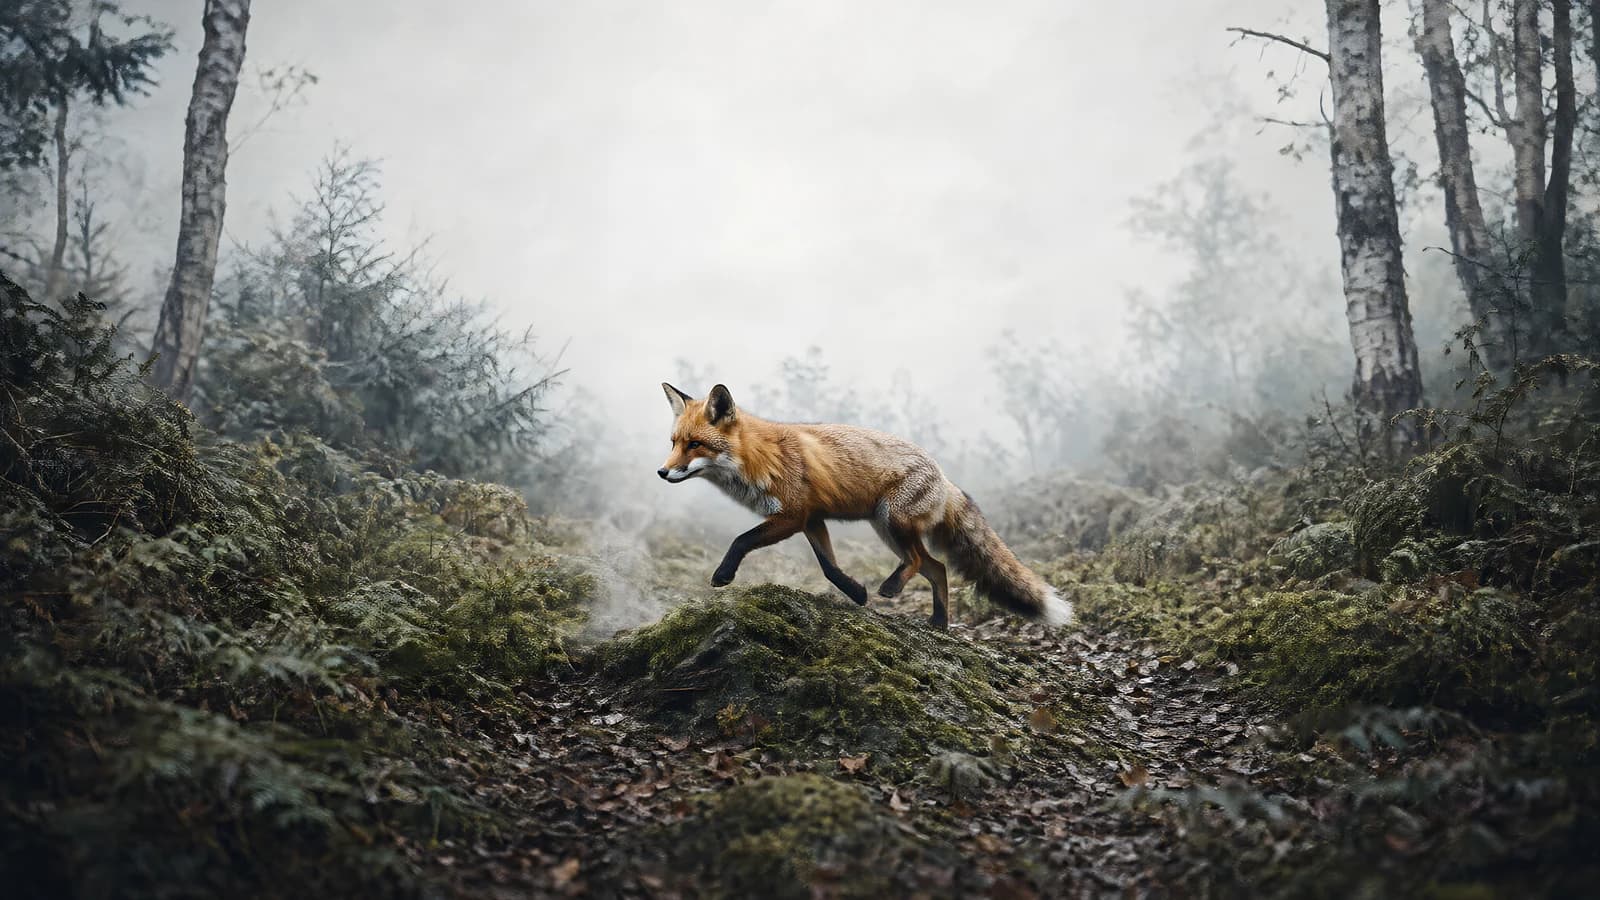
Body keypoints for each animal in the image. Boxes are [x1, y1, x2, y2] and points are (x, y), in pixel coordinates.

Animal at [656, 382, 1072, 630]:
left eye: (695, 445)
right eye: (674, 442)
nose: (662, 472)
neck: (759, 457)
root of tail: (944, 476)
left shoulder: (792, 515)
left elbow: (741, 540)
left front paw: (723, 575)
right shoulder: (812, 520)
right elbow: (829, 568)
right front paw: (856, 593)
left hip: (892, 521)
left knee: (921, 562)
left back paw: (892, 588)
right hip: (886, 529)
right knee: (937, 568)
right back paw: (938, 624)